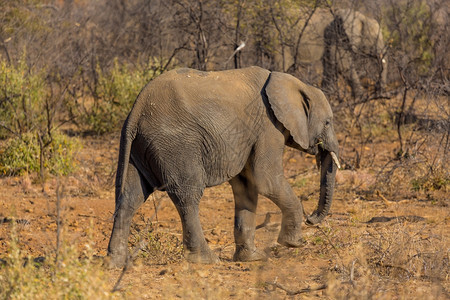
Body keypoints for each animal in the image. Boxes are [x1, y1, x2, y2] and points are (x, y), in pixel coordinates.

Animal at [107, 66, 340, 268]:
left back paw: (116, 263)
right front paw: (293, 244)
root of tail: (136, 111)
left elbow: (247, 186)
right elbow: (265, 179)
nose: (311, 219)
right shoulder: (268, 127)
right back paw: (206, 259)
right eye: (328, 122)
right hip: (175, 145)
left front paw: (252, 258)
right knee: (187, 196)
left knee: (130, 198)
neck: (290, 82)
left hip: (140, 147)